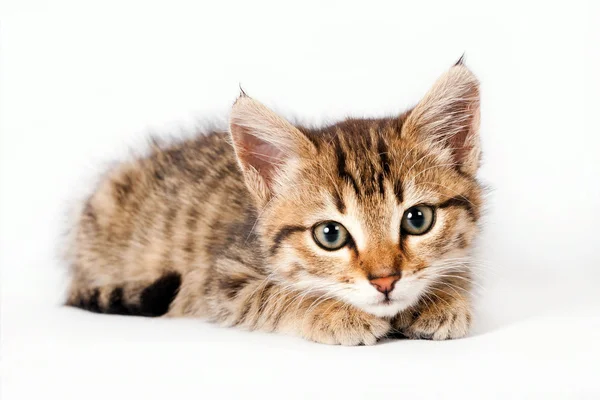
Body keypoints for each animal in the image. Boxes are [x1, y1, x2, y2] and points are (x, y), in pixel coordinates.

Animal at [64, 59, 482, 344]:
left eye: (417, 219)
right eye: (330, 235)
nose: (385, 281)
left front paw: (442, 298)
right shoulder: (221, 282)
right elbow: (278, 294)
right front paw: (334, 313)